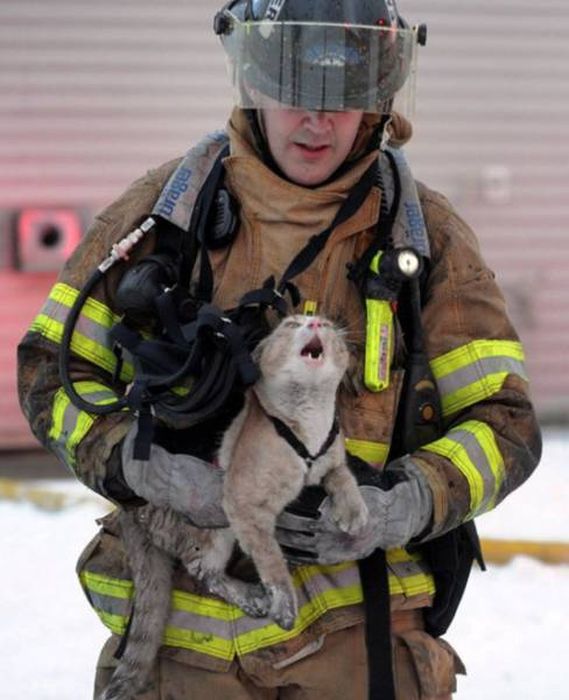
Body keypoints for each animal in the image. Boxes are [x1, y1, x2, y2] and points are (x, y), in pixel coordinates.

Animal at [101, 316, 368, 700]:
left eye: (329, 325)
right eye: (291, 323)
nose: (316, 321)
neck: (309, 423)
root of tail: (127, 509)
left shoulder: (331, 461)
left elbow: (344, 476)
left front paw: (355, 514)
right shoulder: (245, 504)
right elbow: (271, 559)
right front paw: (283, 605)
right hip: (212, 529)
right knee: (204, 571)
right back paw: (251, 596)